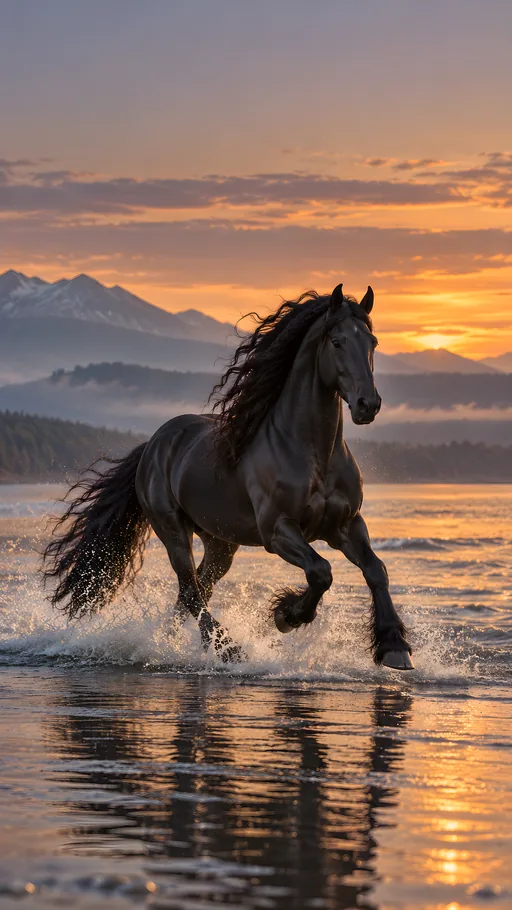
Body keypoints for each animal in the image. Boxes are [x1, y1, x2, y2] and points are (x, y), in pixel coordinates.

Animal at [42, 283, 414, 671]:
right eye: (337, 342)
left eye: (372, 341)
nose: (368, 404)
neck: (314, 453)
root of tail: (152, 446)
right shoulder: (277, 530)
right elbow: (320, 571)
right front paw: (286, 616)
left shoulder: (346, 525)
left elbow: (376, 570)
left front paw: (394, 647)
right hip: (172, 530)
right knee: (191, 590)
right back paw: (227, 649)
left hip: (221, 543)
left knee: (195, 591)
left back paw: (168, 645)